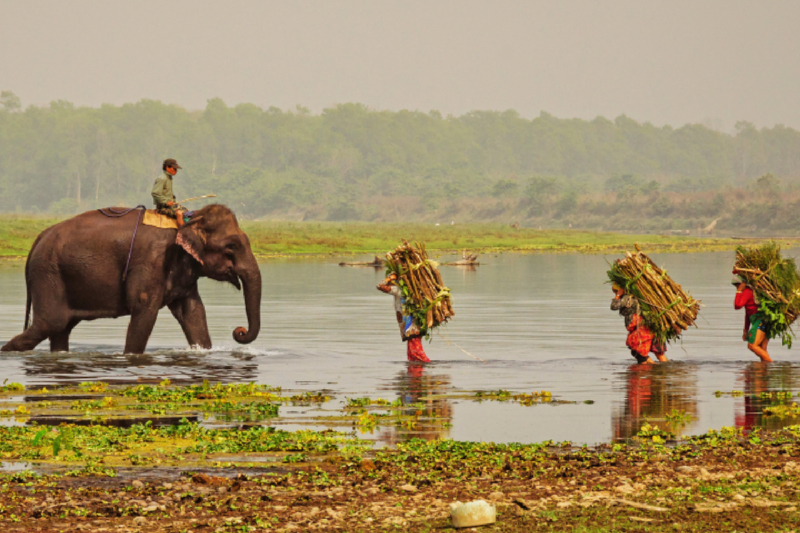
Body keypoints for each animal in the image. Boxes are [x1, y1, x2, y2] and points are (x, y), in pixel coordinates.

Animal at [0, 205, 262, 354]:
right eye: (231, 246)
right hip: (47, 273)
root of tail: (37, 239)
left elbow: (193, 312)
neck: (187, 220)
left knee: (61, 329)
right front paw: (131, 357)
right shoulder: (151, 261)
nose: (239, 331)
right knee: (50, 323)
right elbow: (145, 310)